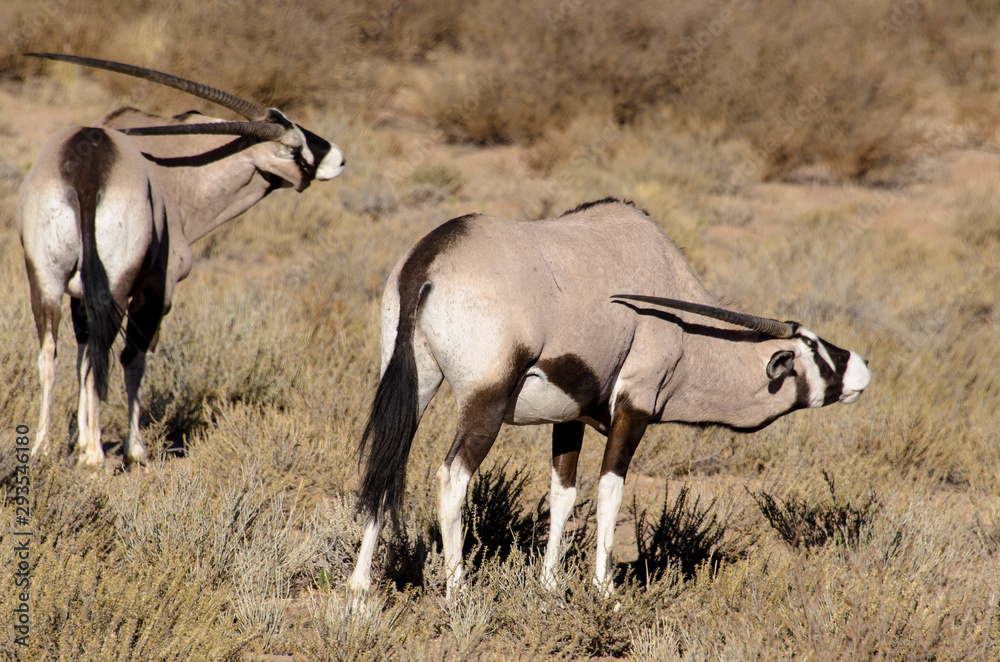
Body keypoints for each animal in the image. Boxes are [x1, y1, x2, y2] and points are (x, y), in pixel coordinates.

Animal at [18, 53, 344, 468]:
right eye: (293, 148)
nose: (338, 158)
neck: (176, 172)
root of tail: (88, 168)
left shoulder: (79, 294)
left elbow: (80, 356)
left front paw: (75, 439)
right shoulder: (157, 290)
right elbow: (134, 360)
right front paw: (134, 449)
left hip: (45, 280)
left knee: (50, 351)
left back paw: (42, 448)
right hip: (116, 286)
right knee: (107, 352)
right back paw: (94, 456)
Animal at [348, 198, 871, 598]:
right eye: (813, 351)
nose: (862, 368)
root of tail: (430, 258)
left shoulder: (569, 416)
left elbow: (563, 493)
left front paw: (550, 584)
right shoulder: (633, 409)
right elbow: (610, 491)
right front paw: (604, 590)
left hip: (415, 386)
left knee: (385, 463)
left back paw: (358, 593)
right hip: (485, 404)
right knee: (452, 477)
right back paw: (458, 589)